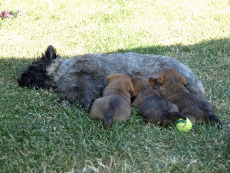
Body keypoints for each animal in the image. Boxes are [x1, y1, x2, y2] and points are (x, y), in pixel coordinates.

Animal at [18, 45, 205, 109]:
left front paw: (82, 103)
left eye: (32, 68)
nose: (19, 80)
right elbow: (71, 92)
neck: (62, 69)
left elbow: (84, 90)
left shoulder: (89, 76)